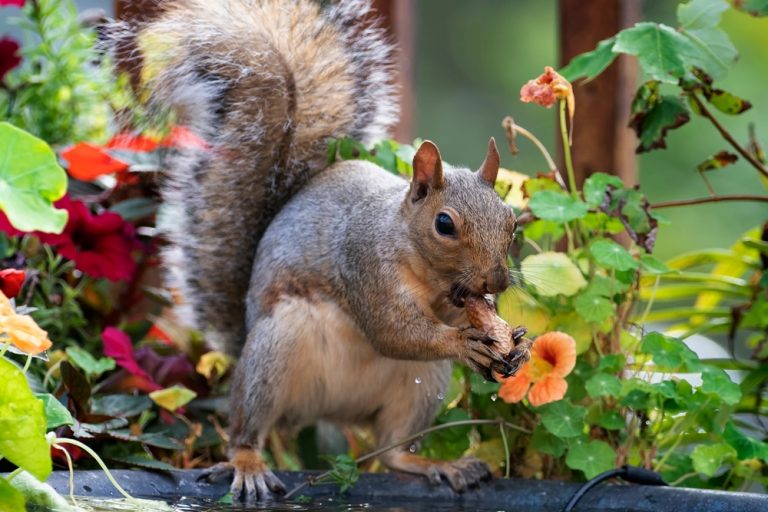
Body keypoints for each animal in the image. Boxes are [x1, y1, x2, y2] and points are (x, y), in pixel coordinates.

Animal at [132, 0, 522, 502]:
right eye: (444, 224)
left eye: (512, 221)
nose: (497, 280)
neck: (427, 273)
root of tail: (332, 411)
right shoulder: (364, 265)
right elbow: (391, 331)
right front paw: (463, 341)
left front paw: (513, 345)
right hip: (274, 352)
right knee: (250, 428)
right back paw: (248, 464)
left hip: (421, 386)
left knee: (393, 450)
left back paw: (440, 465)